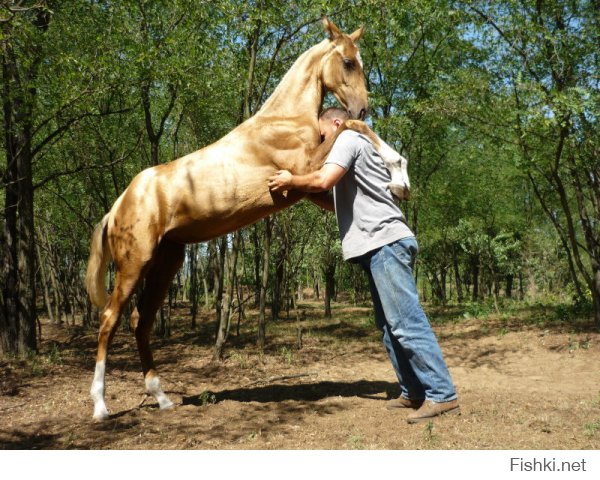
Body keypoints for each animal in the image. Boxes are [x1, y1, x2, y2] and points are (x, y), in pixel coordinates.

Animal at [84, 17, 410, 420]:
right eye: (348, 61)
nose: (362, 107)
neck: (284, 120)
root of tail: (117, 206)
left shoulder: (311, 187)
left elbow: (355, 140)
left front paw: (398, 181)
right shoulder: (306, 169)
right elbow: (354, 129)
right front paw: (397, 171)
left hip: (167, 261)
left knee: (140, 322)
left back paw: (161, 398)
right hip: (134, 263)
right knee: (109, 319)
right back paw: (101, 406)